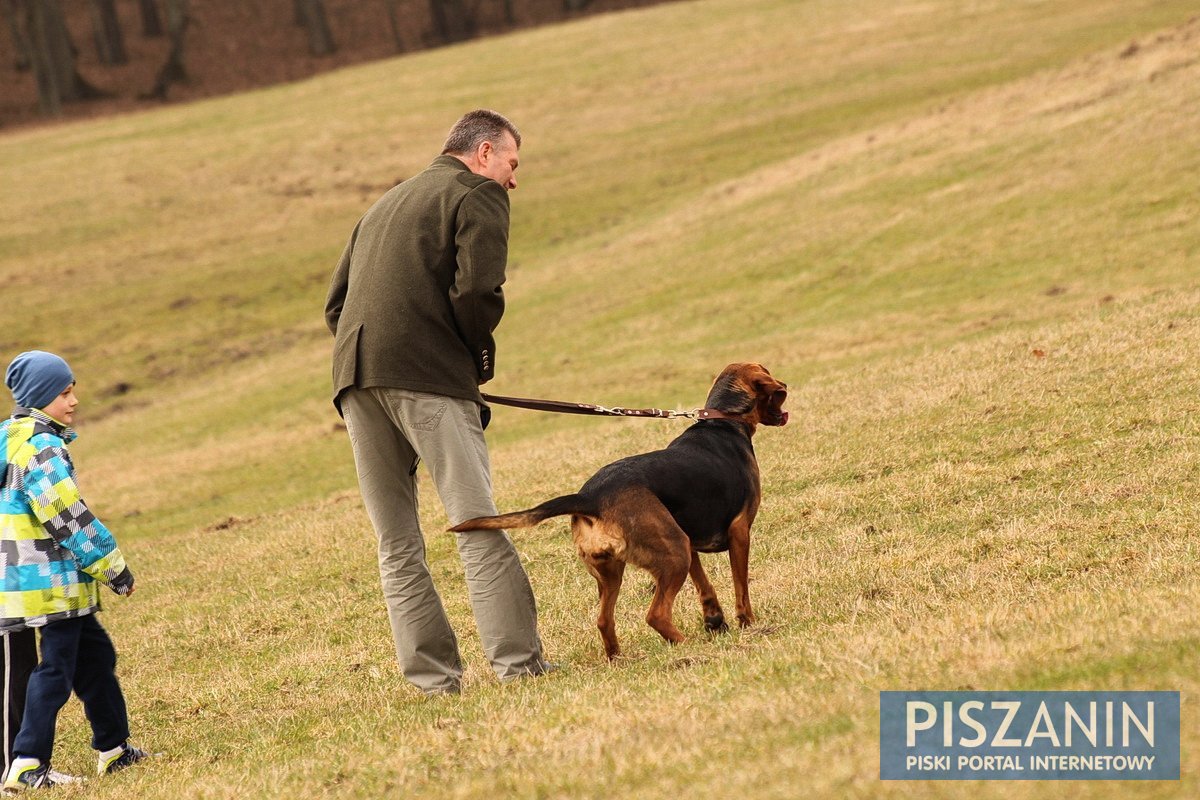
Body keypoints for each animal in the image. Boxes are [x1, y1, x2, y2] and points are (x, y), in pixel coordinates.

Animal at [451, 367, 787, 662]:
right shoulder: (738, 533)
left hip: (616, 570)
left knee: (603, 620)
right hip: (673, 553)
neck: (722, 421)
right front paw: (746, 622)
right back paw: (685, 645)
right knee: (656, 615)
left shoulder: (691, 543)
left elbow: (706, 588)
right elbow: (741, 585)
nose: (785, 391)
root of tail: (589, 497)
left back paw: (618, 658)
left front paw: (715, 622)